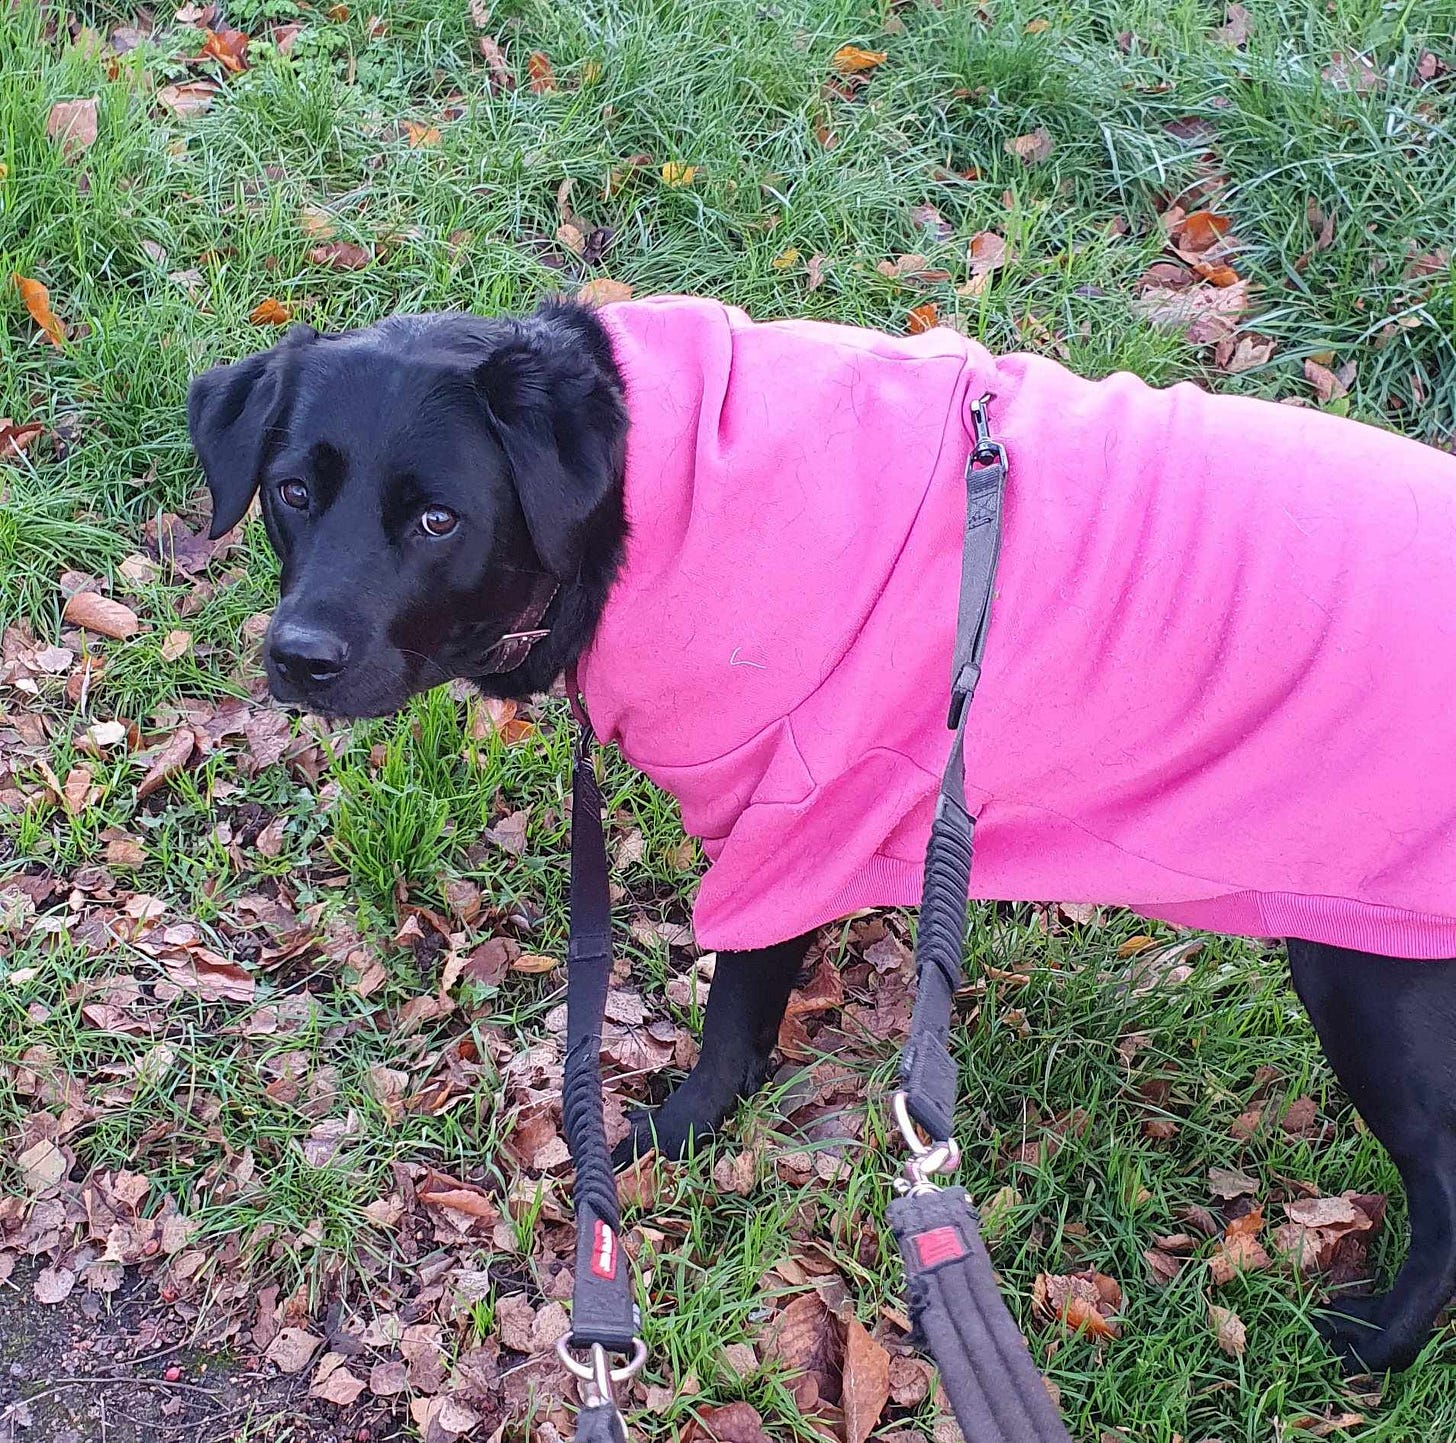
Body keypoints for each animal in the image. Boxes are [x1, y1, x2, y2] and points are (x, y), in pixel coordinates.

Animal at [190, 298, 1456, 1368]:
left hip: (1372, 974)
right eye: (292, 493)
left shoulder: (785, 818)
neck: (640, 500)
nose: (298, 657)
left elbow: (733, 1030)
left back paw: (1378, 1346)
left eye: (437, 518)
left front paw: (663, 1147)